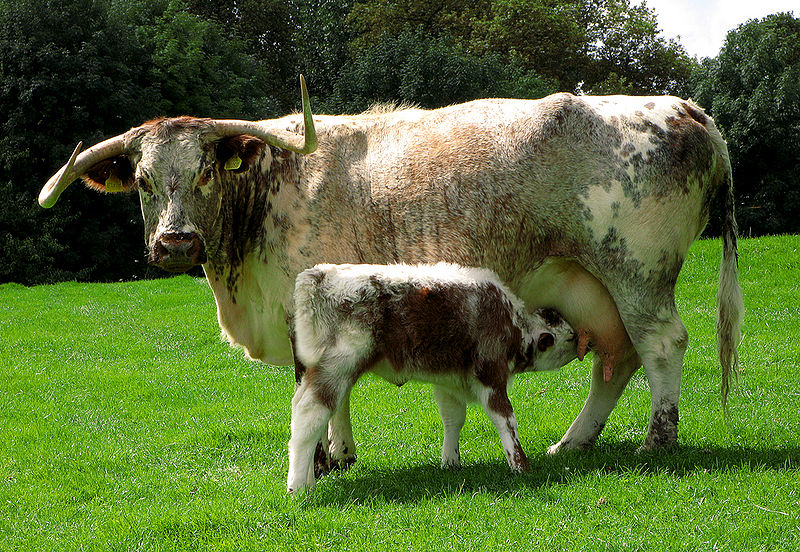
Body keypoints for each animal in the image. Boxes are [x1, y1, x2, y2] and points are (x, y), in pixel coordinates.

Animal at [40, 75, 748, 468]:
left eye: (206, 173)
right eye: (143, 180)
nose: (176, 242)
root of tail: (688, 109)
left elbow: (319, 386)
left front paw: (328, 458)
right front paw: (342, 454)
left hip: (637, 273)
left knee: (662, 345)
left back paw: (657, 441)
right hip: (587, 284)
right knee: (616, 358)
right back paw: (573, 444)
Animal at [290, 262, 580, 492]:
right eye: (570, 337)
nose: (584, 344)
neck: (513, 324)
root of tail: (318, 273)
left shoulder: (450, 382)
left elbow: (453, 418)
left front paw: (451, 461)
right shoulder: (490, 375)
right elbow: (505, 419)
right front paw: (520, 465)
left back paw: (309, 482)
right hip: (337, 368)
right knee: (309, 415)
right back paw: (297, 488)